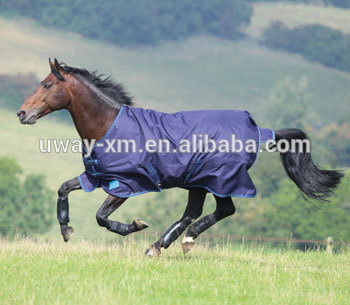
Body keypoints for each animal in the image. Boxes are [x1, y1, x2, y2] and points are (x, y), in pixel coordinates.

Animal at [17, 58, 344, 255]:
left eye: (47, 84)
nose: (22, 114)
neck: (109, 125)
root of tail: (259, 129)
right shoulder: (96, 176)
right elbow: (63, 189)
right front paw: (66, 230)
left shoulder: (126, 184)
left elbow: (101, 217)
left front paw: (136, 225)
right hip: (197, 182)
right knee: (195, 213)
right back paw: (162, 245)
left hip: (218, 179)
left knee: (222, 210)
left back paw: (177, 240)